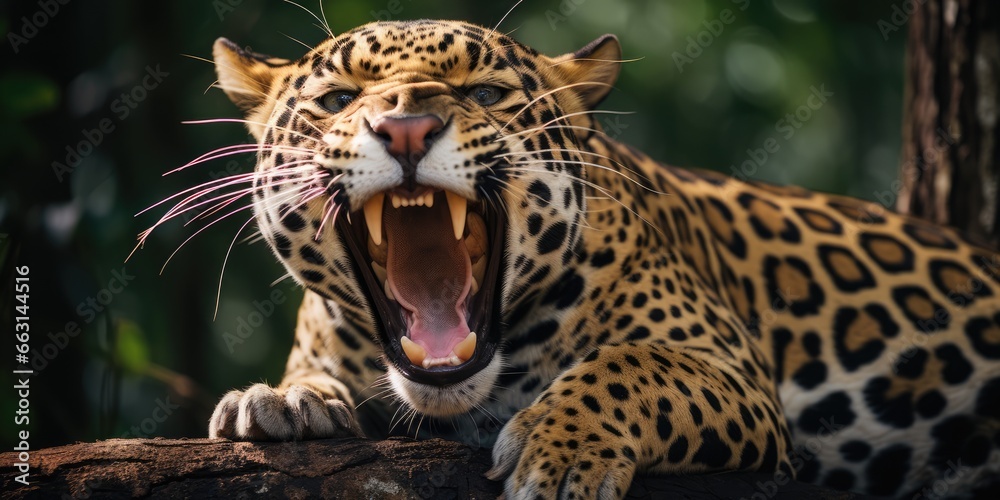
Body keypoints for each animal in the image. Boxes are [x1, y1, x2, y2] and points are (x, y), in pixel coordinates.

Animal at [161, 19, 1000, 499]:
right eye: (337, 101)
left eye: (485, 93)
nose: (406, 129)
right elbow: (313, 377)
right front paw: (281, 400)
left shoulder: (732, 369)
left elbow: (633, 364)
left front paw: (562, 449)